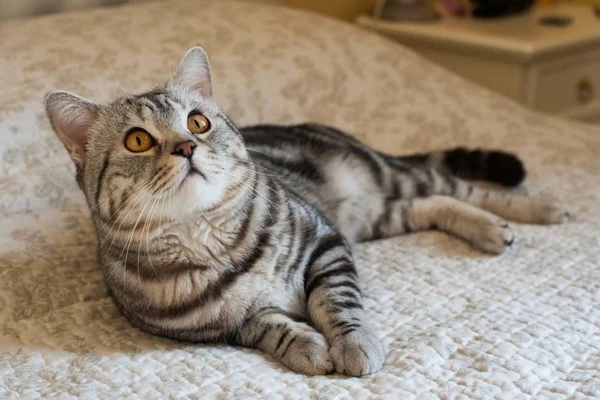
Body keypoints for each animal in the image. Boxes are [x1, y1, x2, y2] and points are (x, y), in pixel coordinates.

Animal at [47, 46, 568, 376]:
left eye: (197, 122)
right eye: (137, 140)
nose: (187, 146)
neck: (211, 242)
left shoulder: (326, 244)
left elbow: (339, 304)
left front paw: (354, 346)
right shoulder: (224, 328)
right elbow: (271, 327)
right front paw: (307, 348)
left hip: (382, 179)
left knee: (459, 188)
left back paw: (532, 212)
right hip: (373, 215)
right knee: (433, 204)